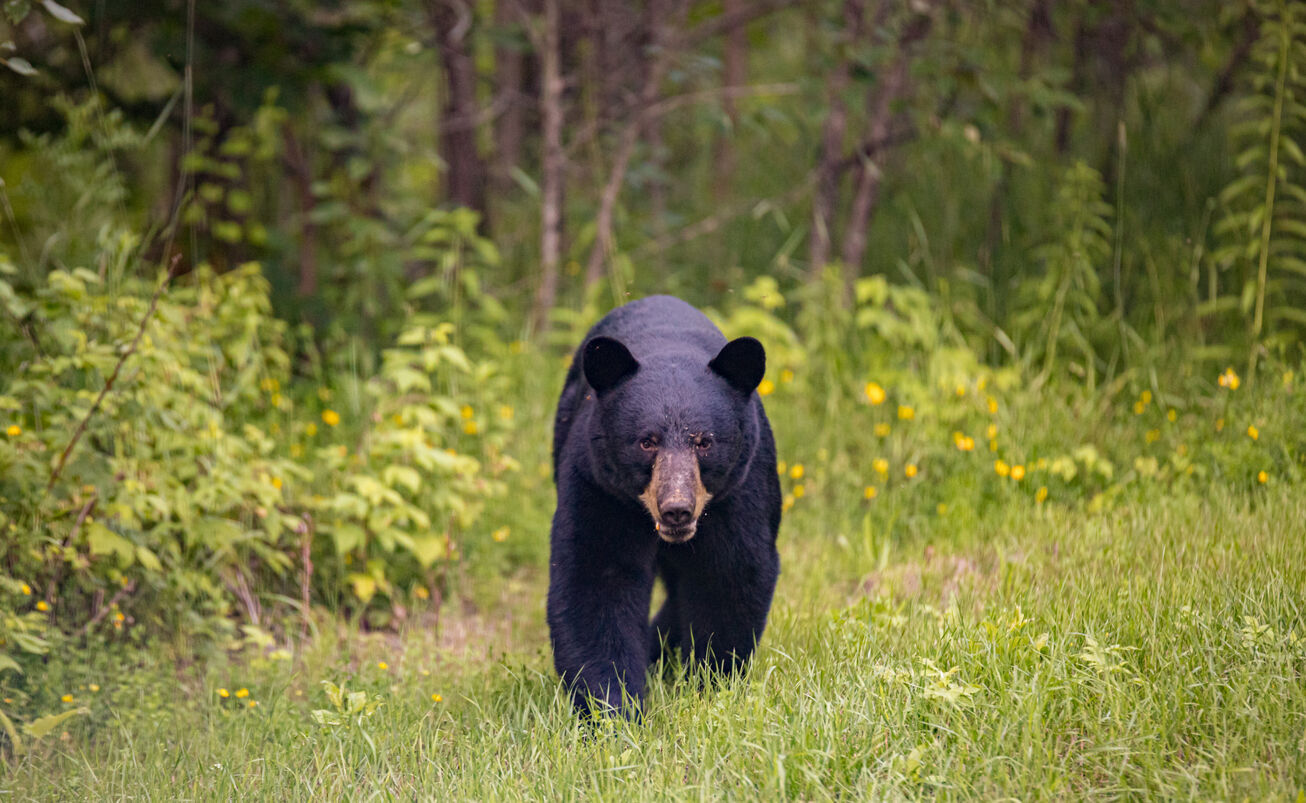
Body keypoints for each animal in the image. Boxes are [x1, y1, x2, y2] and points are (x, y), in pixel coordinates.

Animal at [545, 295, 778, 715]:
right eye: (646, 441)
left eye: (704, 441)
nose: (676, 509)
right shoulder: (600, 486)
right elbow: (596, 579)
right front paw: (612, 709)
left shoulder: (739, 490)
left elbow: (730, 572)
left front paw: (709, 684)